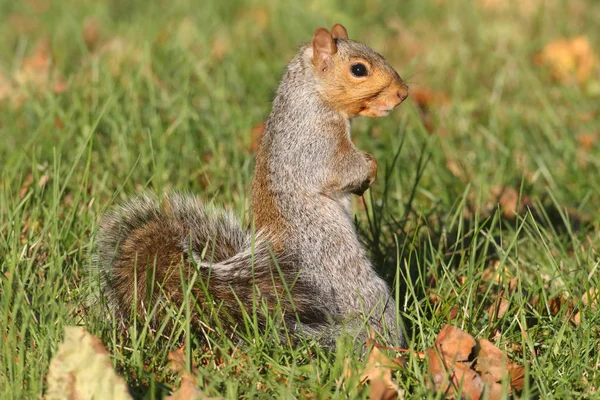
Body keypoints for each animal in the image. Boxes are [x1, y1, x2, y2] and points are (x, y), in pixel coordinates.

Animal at [94, 24, 410, 346]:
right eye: (358, 69)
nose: (403, 93)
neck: (311, 97)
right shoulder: (316, 143)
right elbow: (341, 168)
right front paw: (370, 167)